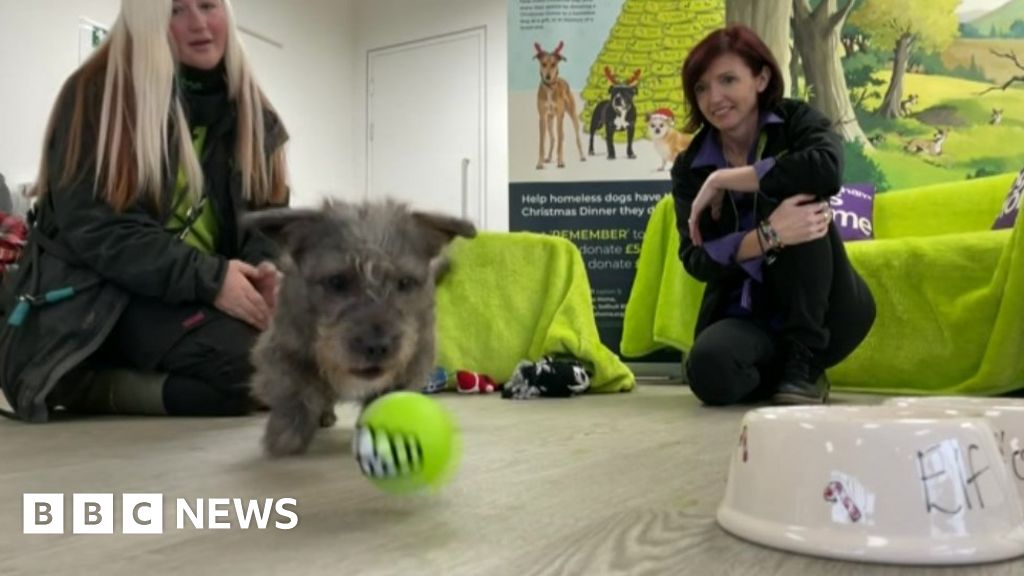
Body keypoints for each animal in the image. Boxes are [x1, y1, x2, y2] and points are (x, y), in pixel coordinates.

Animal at [239, 199, 475, 455]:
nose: (377, 347)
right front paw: (287, 433)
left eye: (404, 282)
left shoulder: (414, 360)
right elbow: (295, 388)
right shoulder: (279, 349)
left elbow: (387, 397)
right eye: (337, 282)